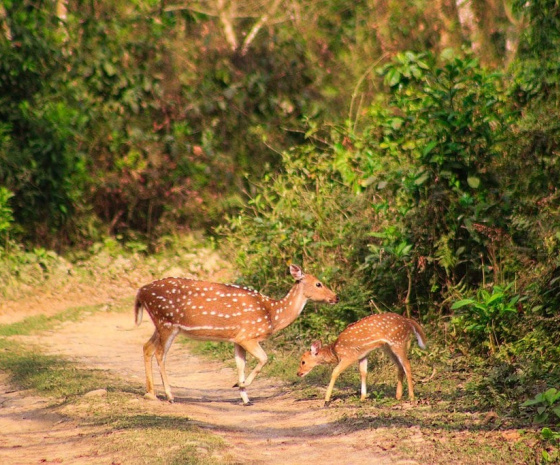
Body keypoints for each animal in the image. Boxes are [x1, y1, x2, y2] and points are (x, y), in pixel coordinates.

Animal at [137, 264, 336, 402]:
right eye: (318, 283)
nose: (336, 297)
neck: (272, 314)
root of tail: (140, 292)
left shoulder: (236, 339)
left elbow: (240, 365)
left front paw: (244, 396)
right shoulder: (248, 335)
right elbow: (264, 358)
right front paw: (241, 385)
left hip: (160, 324)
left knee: (147, 347)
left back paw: (150, 394)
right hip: (167, 322)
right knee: (160, 353)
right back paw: (169, 395)